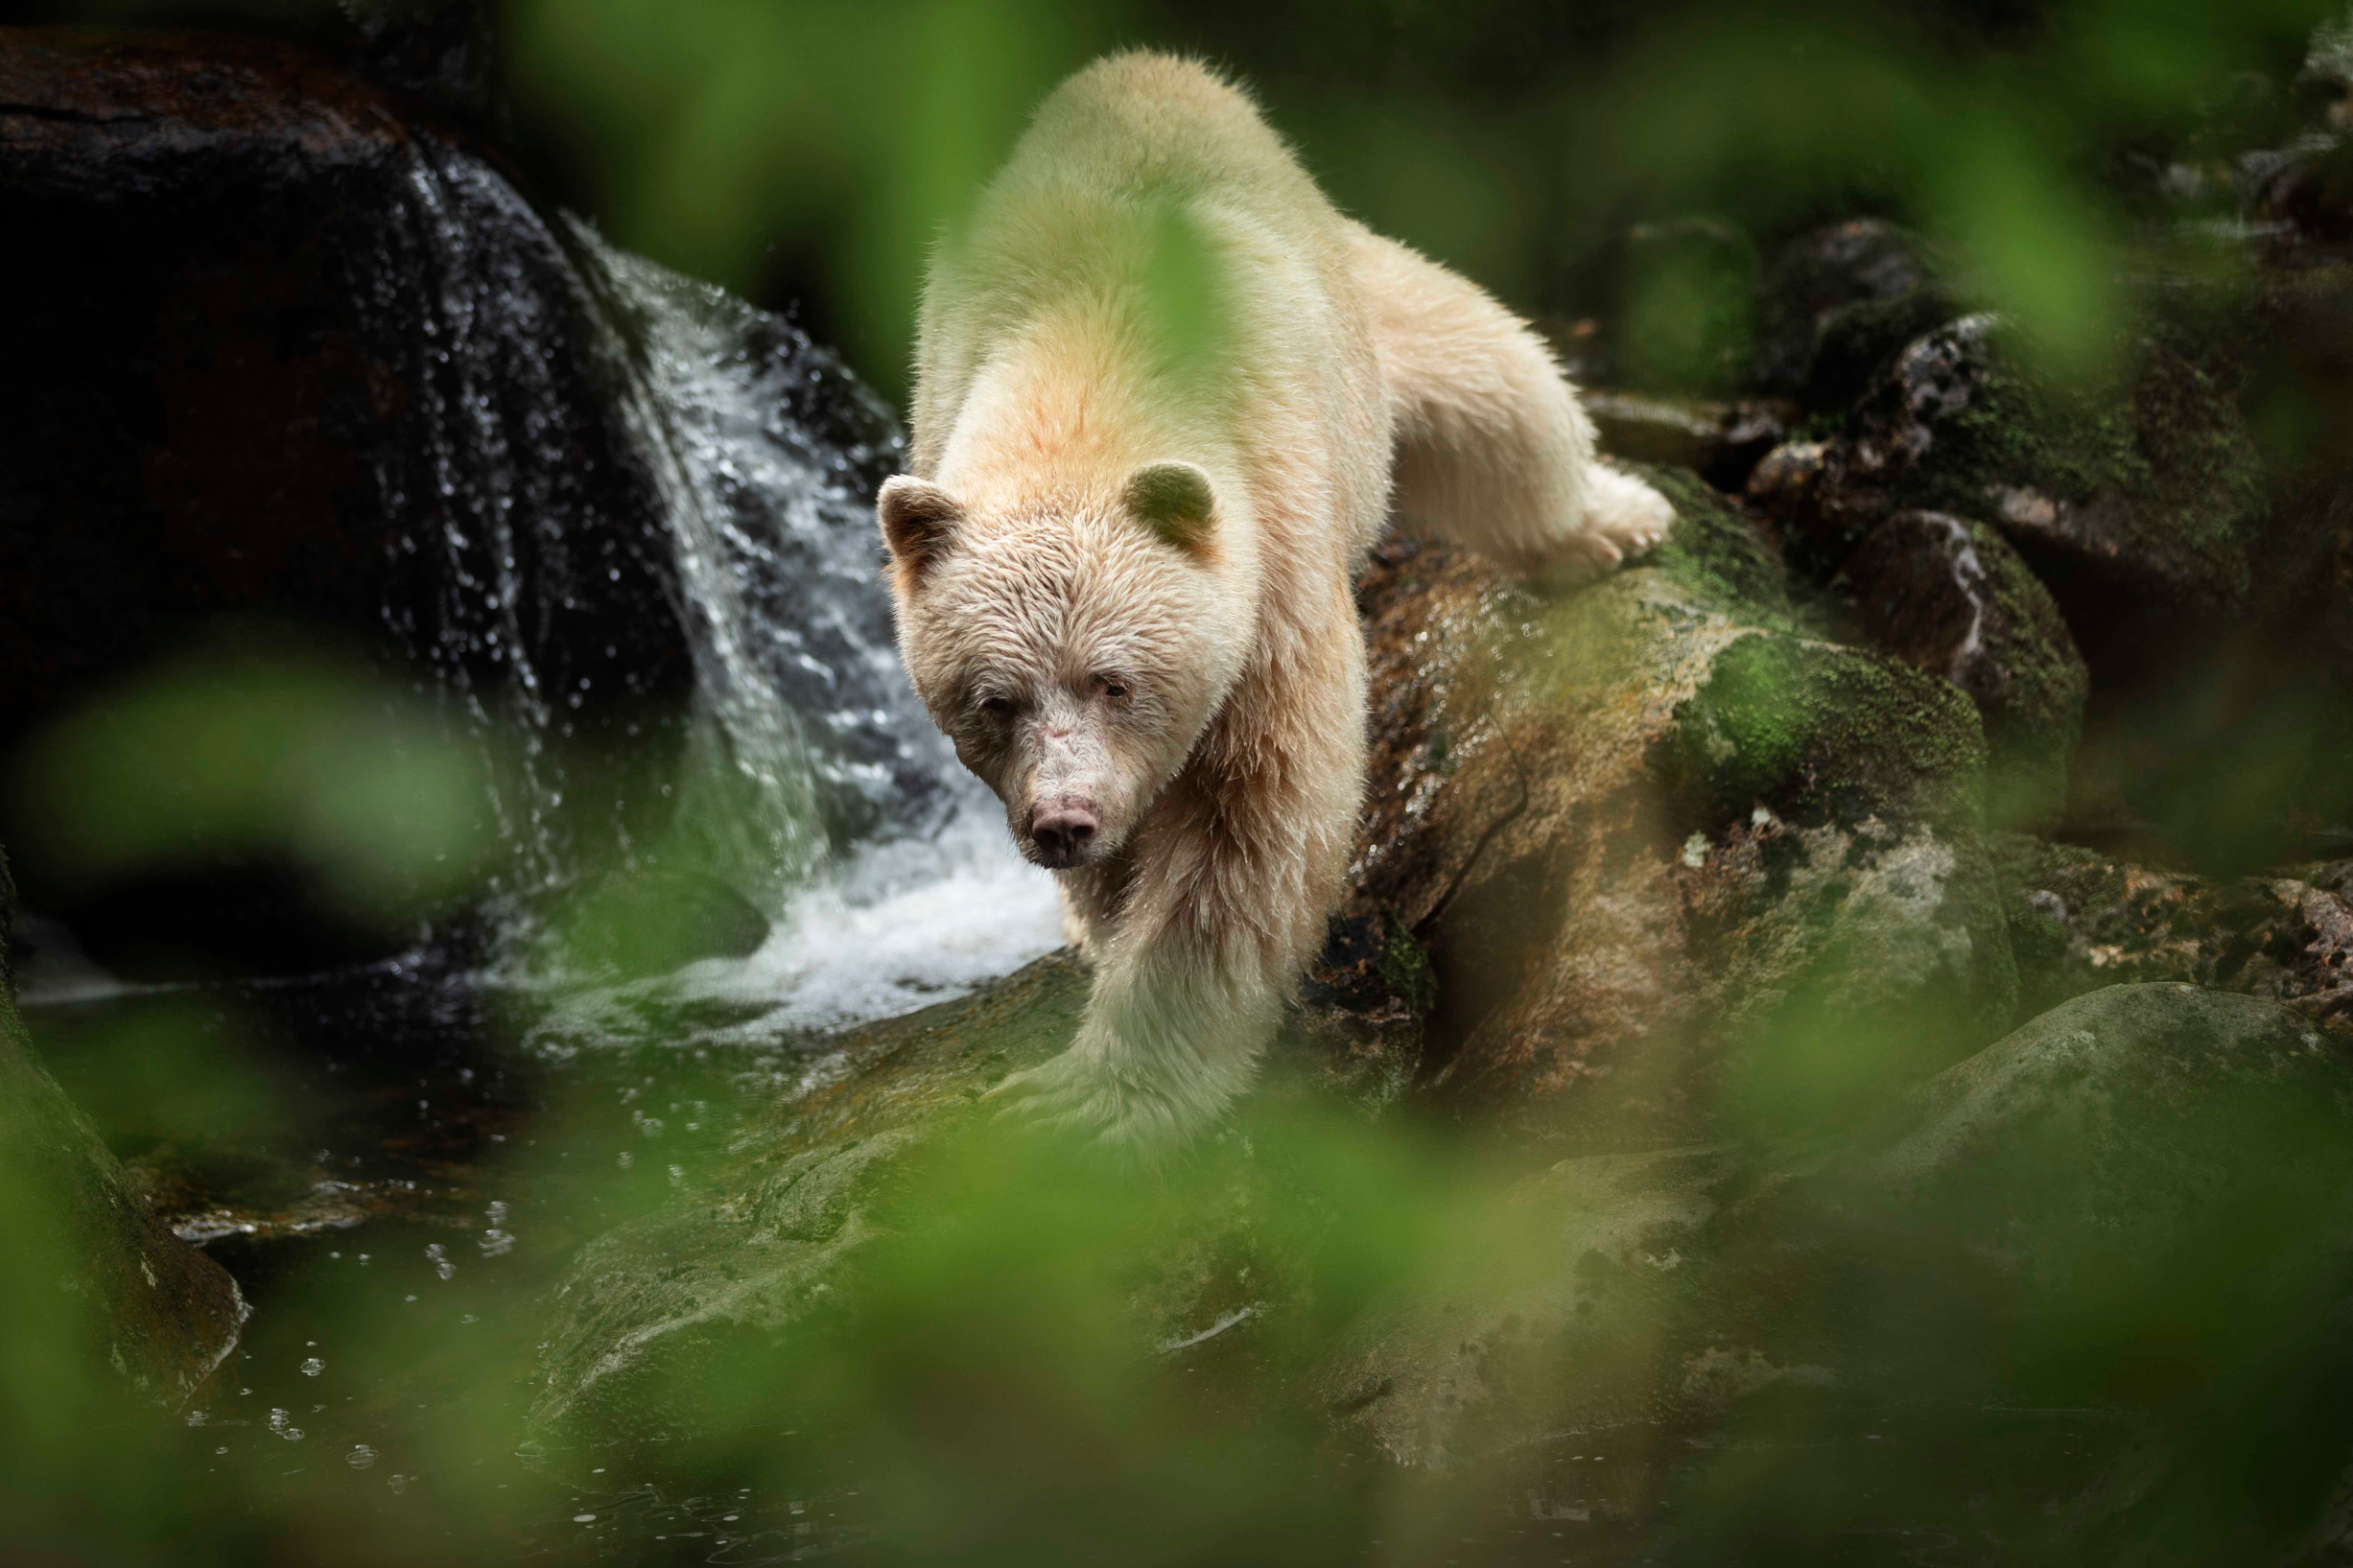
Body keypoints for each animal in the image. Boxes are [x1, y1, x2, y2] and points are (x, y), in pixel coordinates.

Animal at [884, 52, 1675, 1152]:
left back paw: (1610, 519)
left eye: (1114, 681)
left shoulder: (1272, 553)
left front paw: (1095, 1099)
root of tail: (1151, 68)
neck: (1085, 362)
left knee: (1492, 382)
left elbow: (1250, 819)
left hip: (1353, 309)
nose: (1062, 822)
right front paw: (1097, 927)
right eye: (991, 699)